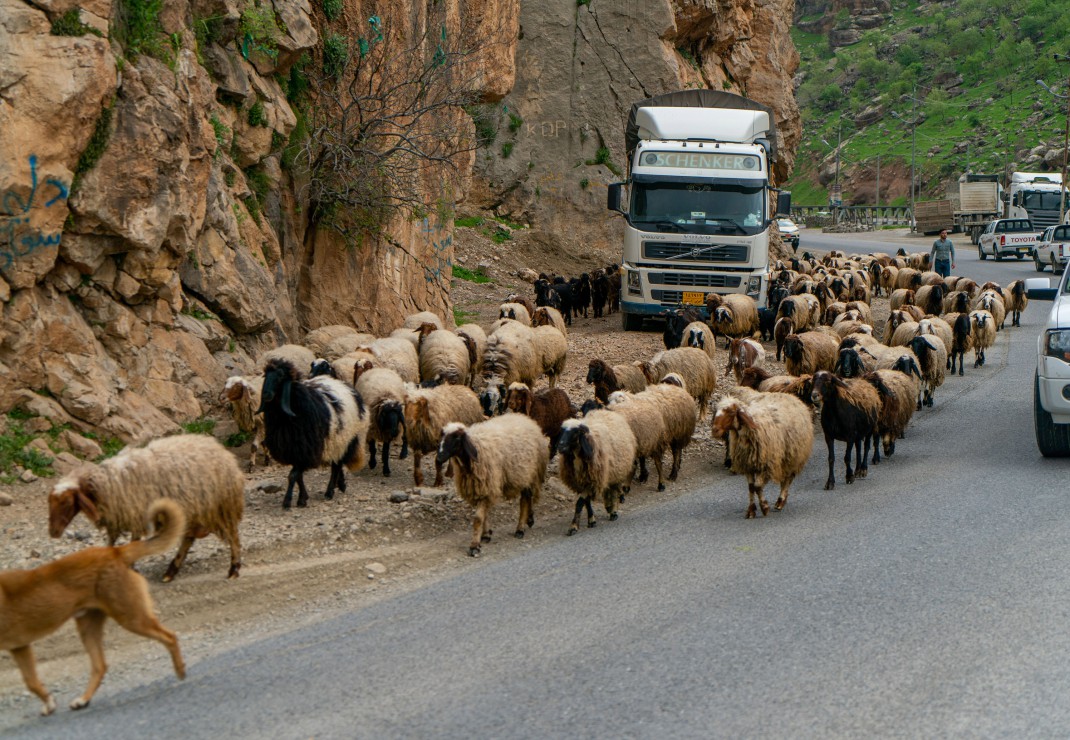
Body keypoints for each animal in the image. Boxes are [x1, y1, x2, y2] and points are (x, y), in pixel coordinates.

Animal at [1, 500, 186, 714]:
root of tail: (115, 552)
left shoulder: (20, 646)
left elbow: (30, 682)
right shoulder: (19, 646)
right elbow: (30, 681)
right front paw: (49, 703)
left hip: (131, 618)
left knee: (170, 637)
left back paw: (181, 672)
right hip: (89, 627)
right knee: (100, 666)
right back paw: (83, 700)